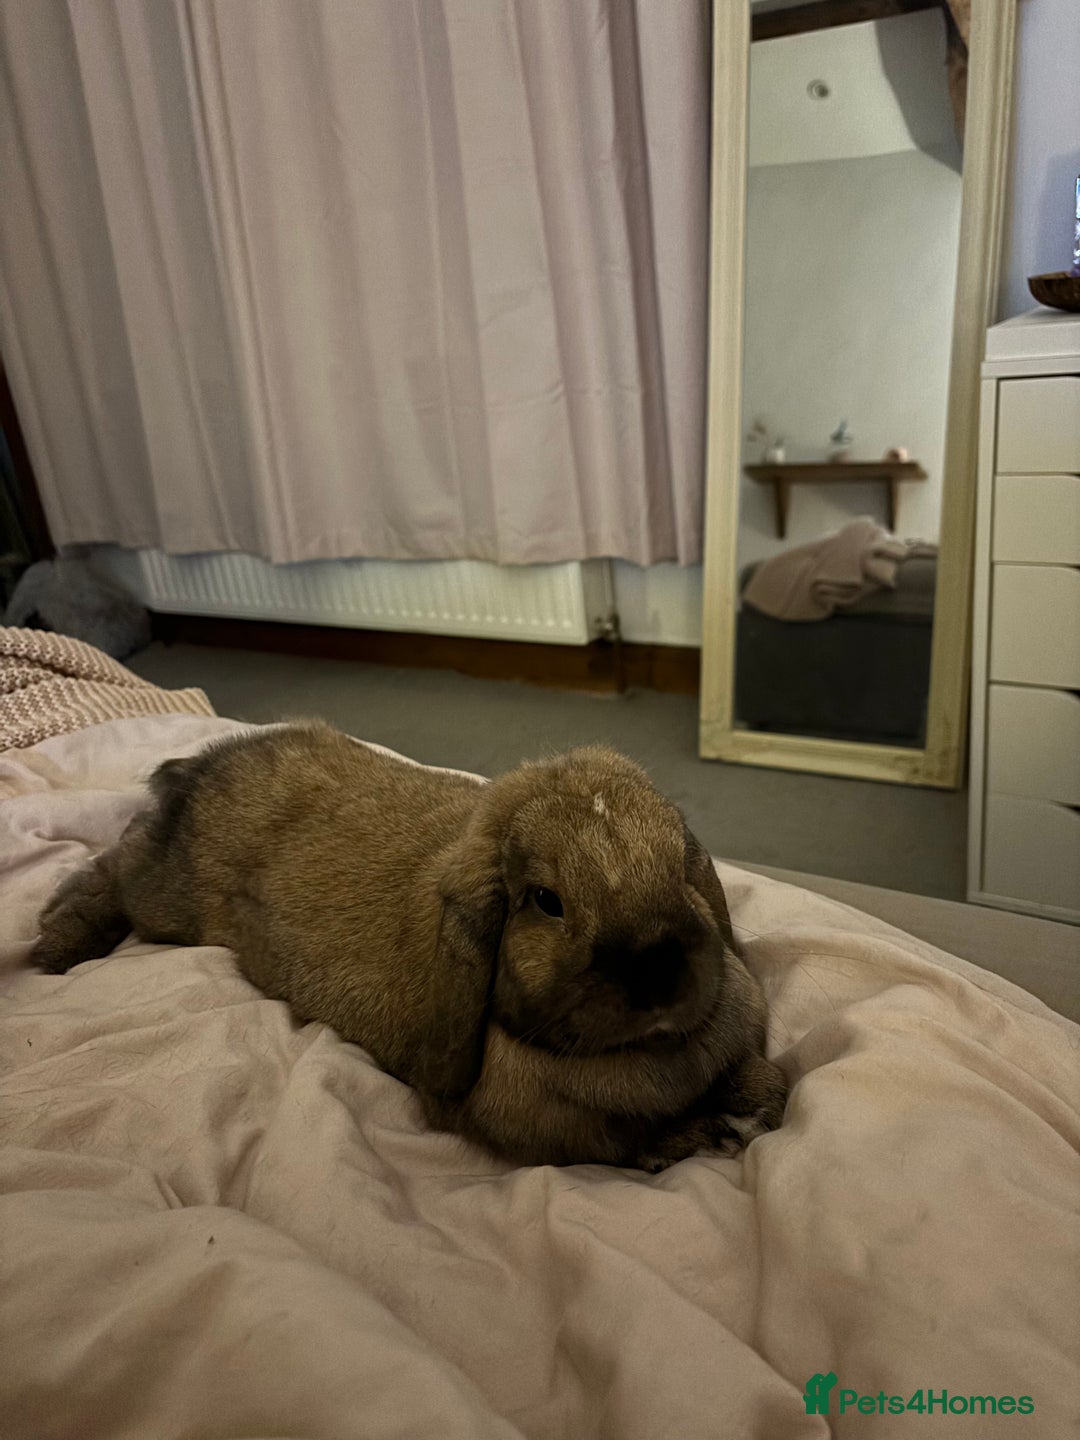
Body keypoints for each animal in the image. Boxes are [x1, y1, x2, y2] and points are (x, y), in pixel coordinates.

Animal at [32, 723, 787, 1170]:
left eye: (679, 865)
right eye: (545, 900)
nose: (658, 972)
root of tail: (203, 767)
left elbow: (760, 1079)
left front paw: (755, 1104)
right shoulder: (554, 1134)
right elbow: (628, 1142)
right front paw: (705, 1134)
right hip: (167, 902)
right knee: (115, 863)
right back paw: (55, 946)